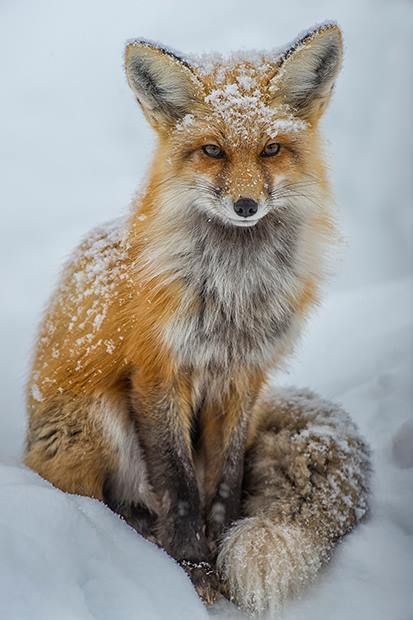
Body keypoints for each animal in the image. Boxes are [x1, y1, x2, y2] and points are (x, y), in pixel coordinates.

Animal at [24, 23, 368, 612]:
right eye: (212, 151)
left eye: (272, 149)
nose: (247, 205)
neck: (232, 295)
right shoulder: (158, 372)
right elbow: (180, 487)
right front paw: (192, 570)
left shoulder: (242, 379)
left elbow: (223, 485)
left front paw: (222, 556)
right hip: (94, 419)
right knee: (109, 498)